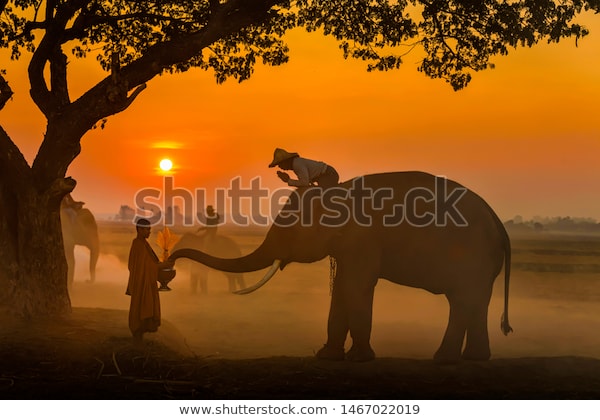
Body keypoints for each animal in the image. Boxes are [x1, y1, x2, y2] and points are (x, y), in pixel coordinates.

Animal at [171, 172, 512, 362]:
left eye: (290, 231)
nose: (170, 264)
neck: (337, 191)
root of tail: (499, 224)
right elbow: (343, 288)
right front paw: (329, 357)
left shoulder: (363, 239)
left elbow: (356, 286)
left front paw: (359, 359)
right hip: (481, 263)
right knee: (474, 301)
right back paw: (475, 358)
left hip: (471, 256)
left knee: (463, 301)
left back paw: (443, 360)